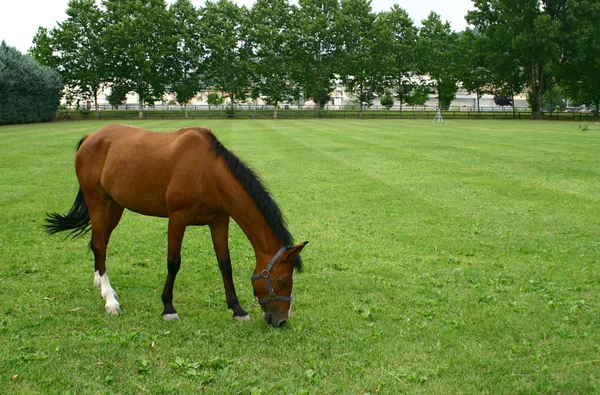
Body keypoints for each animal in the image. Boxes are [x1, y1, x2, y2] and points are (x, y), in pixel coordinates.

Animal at [46, 124, 308, 328]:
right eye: (283, 281)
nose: (281, 321)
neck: (208, 172)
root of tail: (90, 136)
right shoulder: (177, 218)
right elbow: (174, 262)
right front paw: (168, 308)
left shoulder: (219, 220)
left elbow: (225, 264)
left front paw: (238, 310)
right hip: (97, 201)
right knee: (99, 245)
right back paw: (110, 300)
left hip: (114, 206)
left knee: (99, 243)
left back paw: (101, 285)